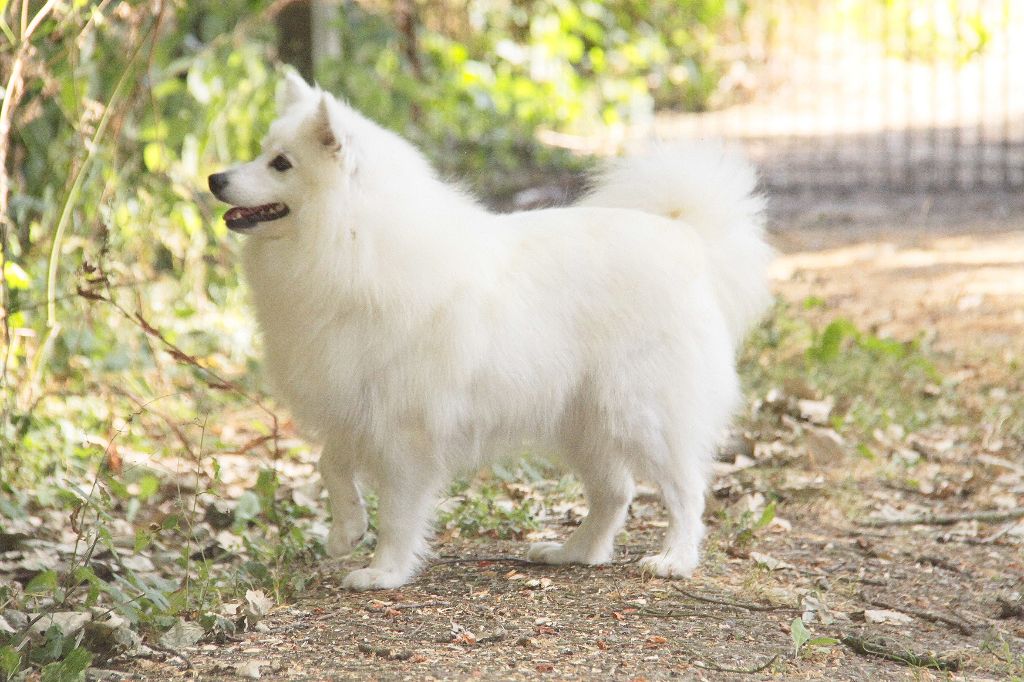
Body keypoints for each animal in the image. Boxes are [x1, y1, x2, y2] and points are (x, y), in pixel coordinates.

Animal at [208, 72, 772, 591]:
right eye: (262, 152)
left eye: (281, 163)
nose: (215, 178)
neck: (350, 239)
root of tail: (685, 237)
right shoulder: (354, 400)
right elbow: (331, 465)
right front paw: (347, 530)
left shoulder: (405, 427)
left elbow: (399, 511)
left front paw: (384, 572)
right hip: (582, 421)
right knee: (616, 493)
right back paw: (572, 551)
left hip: (640, 412)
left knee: (684, 490)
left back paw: (675, 559)